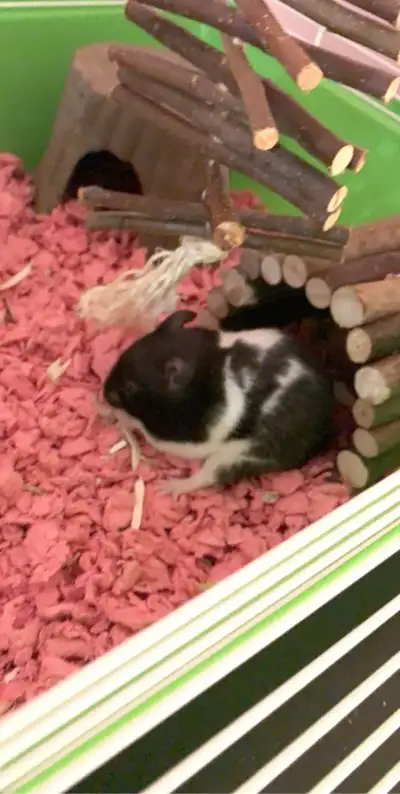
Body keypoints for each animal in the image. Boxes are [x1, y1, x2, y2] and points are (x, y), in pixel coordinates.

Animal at [103, 309, 334, 494]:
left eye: (130, 387)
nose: (103, 393)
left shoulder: (182, 438)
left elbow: (143, 429)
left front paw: (120, 417)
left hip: (240, 456)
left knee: (208, 476)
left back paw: (168, 488)